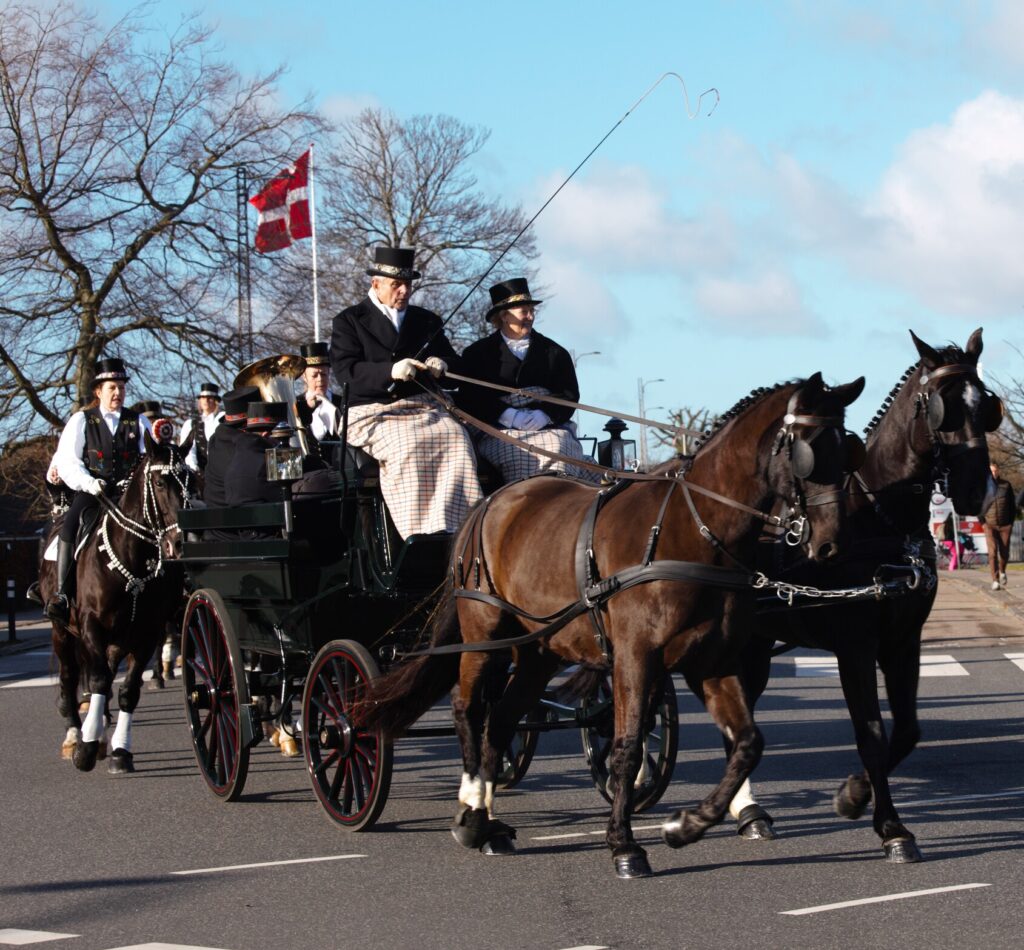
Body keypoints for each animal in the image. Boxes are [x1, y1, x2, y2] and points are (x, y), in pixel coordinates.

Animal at [37, 427, 193, 769]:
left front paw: (120, 751)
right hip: (62, 632)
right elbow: (96, 681)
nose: (179, 543)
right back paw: (74, 734)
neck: (131, 559)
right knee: (70, 678)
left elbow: (128, 691)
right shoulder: (91, 627)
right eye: (159, 483)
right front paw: (84, 748)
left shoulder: (145, 634)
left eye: (189, 480)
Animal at [366, 374, 864, 880]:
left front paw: (689, 824)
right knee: (468, 709)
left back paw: (488, 824)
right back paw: (470, 811)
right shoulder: (635, 656)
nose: (832, 544)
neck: (693, 530)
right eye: (807, 450)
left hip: (539, 652)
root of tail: (489, 502)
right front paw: (624, 845)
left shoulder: (714, 662)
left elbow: (747, 743)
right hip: (485, 636)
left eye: (849, 451)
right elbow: (627, 748)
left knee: (501, 718)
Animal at [729, 329, 999, 864]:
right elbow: (871, 734)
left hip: (755, 648)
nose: (979, 491)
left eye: (986, 406)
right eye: (942, 409)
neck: (880, 516)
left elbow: (908, 730)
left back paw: (747, 813)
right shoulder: (855, 648)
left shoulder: (903, 642)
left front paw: (853, 794)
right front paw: (891, 827)